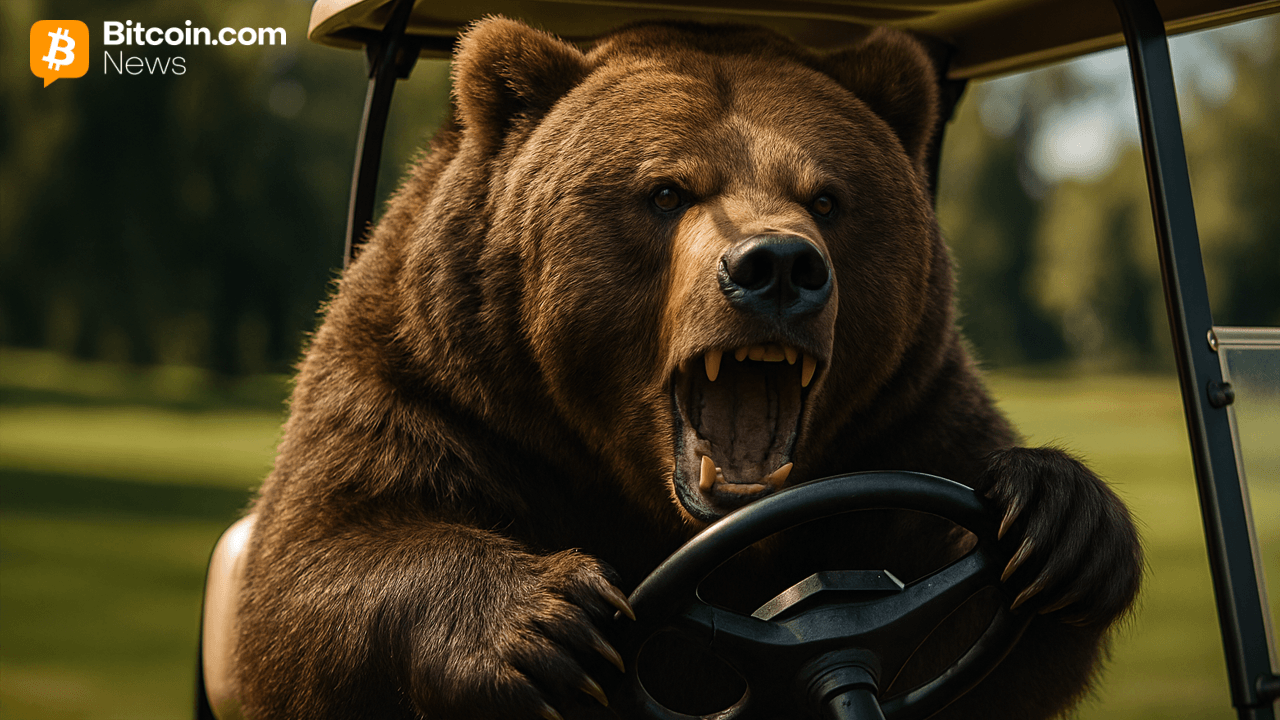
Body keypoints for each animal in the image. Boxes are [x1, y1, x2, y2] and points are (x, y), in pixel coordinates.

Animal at [232, 16, 1143, 720]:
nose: (777, 267)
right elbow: (312, 566)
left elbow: (975, 639)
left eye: (827, 196)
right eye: (666, 191)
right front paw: (543, 623)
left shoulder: (906, 417)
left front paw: (1060, 521)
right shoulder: (443, 384)